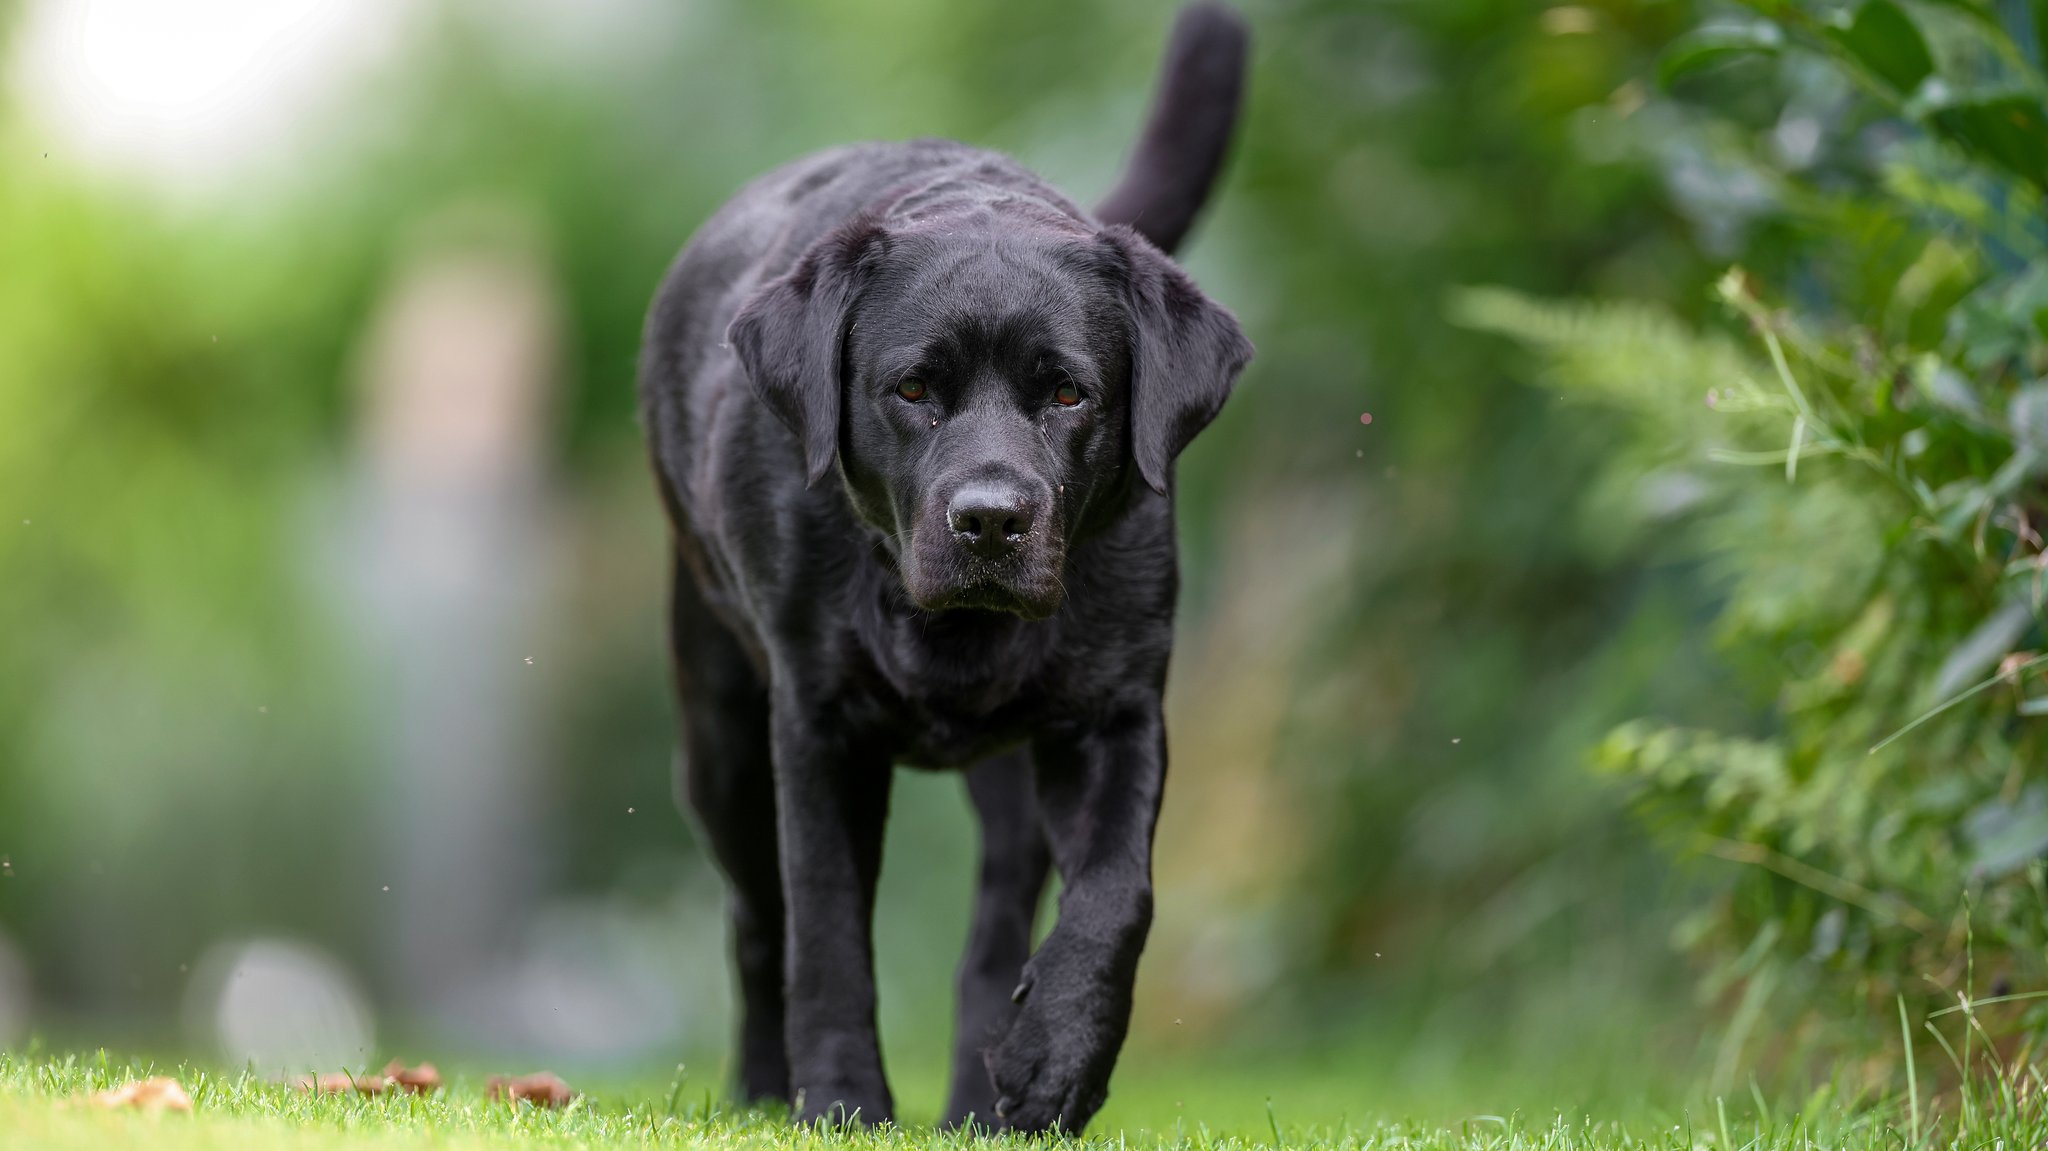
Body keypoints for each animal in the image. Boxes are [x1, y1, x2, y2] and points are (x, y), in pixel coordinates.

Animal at [634, 2, 1245, 1130]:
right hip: (720, 734)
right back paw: (760, 1089)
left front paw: (1057, 1064)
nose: (990, 519)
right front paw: (840, 1099)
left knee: (992, 939)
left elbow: (1116, 894)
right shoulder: (815, 723)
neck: (950, 631)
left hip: (1009, 787)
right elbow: (826, 928)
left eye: (1068, 393)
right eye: (912, 389)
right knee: (756, 919)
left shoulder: (1117, 710)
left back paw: (983, 1098)